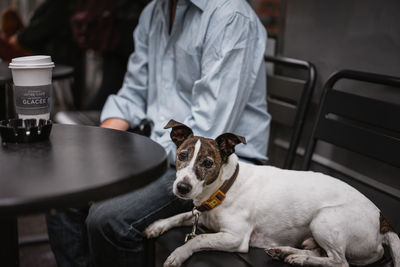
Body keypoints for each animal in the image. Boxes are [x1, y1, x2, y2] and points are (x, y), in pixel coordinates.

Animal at [145, 121, 400, 267]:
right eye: (182, 155)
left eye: (207, 163)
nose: (182, 188)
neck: (224, 188)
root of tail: (384, 224)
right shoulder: (201, 214)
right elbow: (181, 216)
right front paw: (158, 225)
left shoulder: (235, 237)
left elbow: (199, 239)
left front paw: (179, 253)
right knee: (319, 251)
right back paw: (285, 252)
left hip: (325, 219)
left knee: (340, 262)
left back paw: (301, 259)